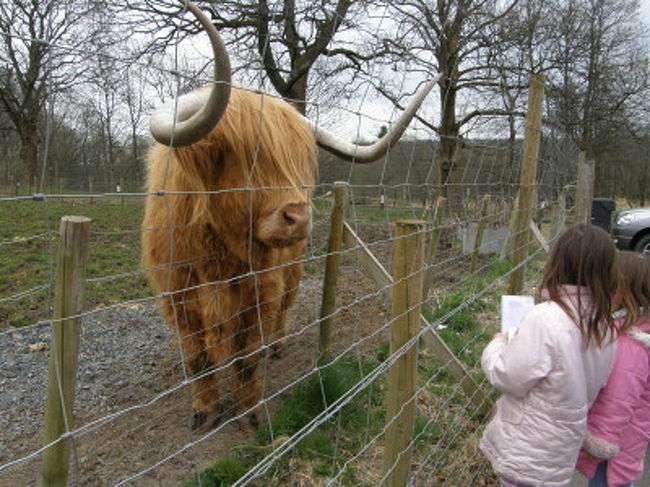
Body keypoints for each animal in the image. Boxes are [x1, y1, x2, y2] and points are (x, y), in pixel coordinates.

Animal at [142, 0, 436, 428]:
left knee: (283, 309)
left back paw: (276, 345)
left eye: (297, 161)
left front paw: (249, 411)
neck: (219, 254)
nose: (299, 218)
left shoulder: (259, 290)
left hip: (292, 269)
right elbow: (197, 359)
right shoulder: (179, 295)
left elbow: (247, 355)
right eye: (242, 158)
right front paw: (204, 410)